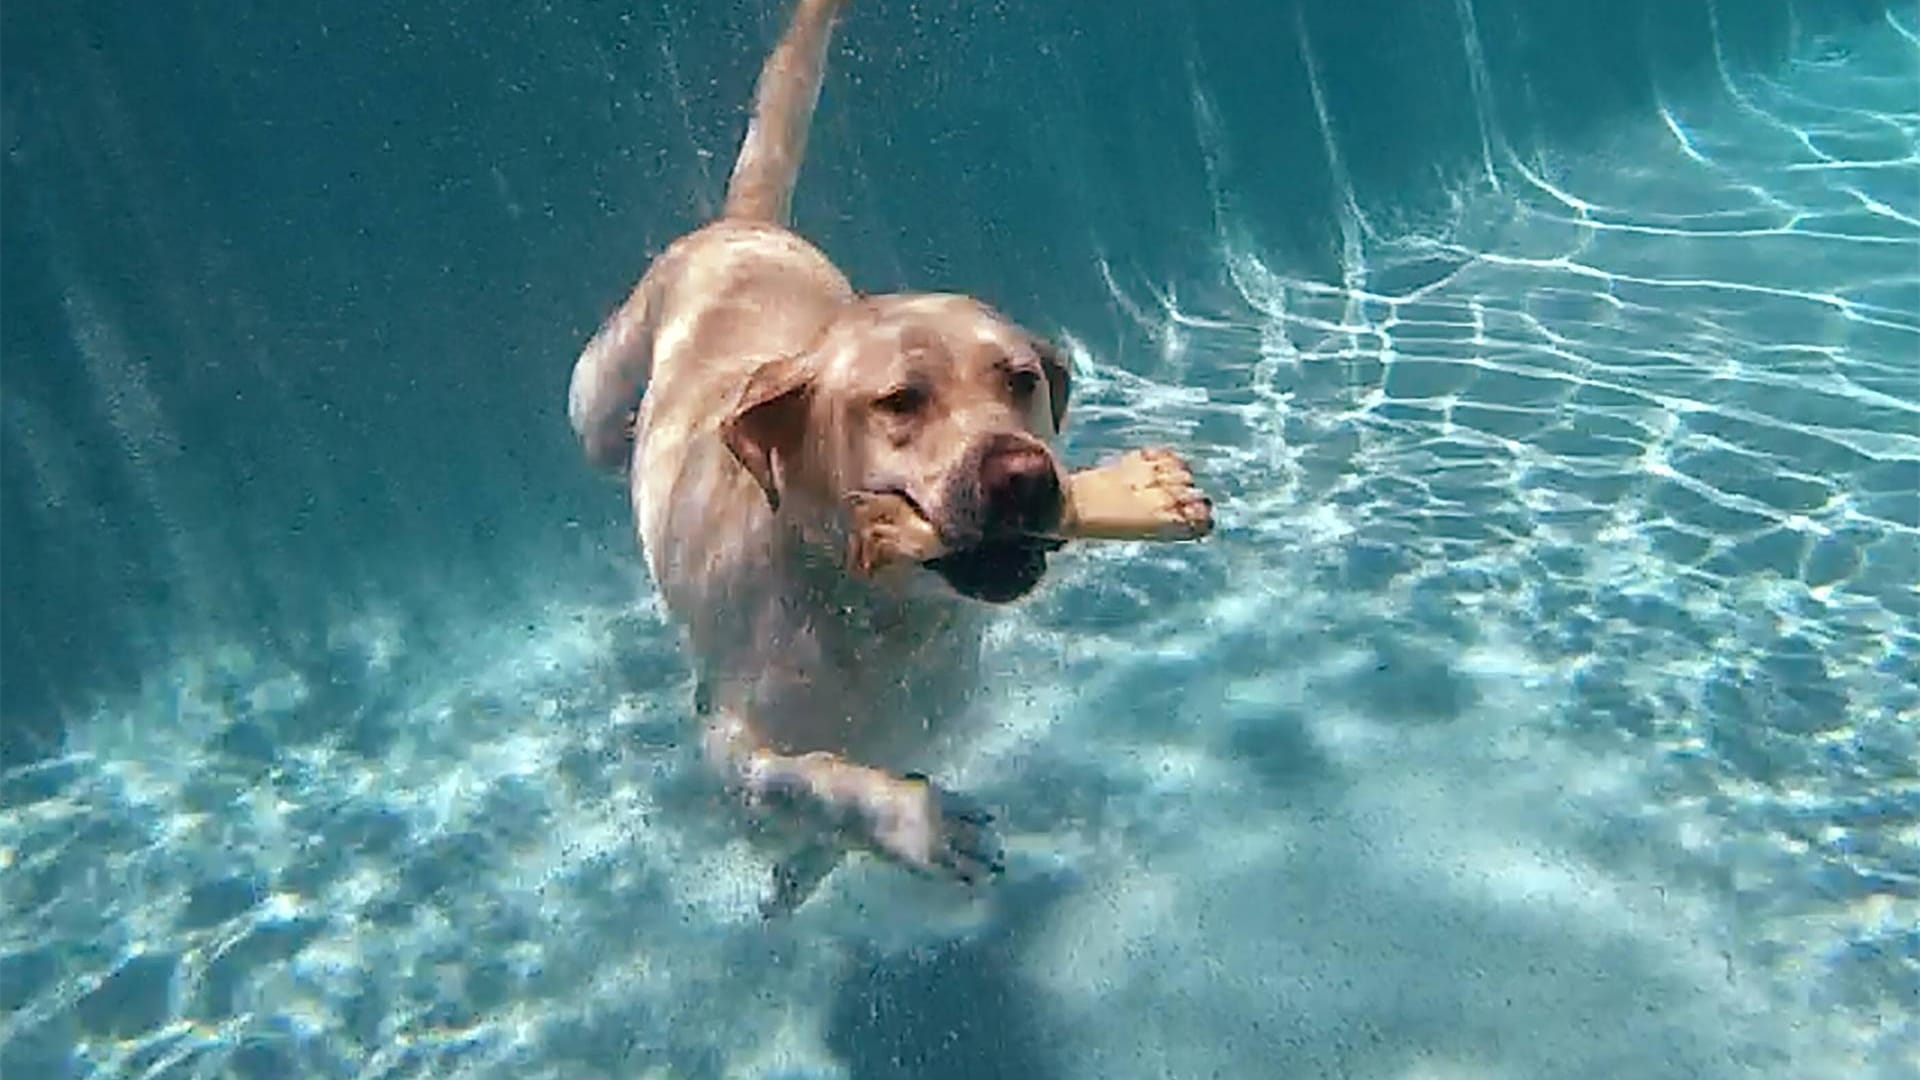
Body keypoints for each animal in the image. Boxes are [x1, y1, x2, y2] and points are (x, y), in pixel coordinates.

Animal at [560, 0, 1213, 910]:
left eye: (1021, 382)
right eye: (900, 402)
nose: (1024, 477)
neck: (874, 615)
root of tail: (746, 226)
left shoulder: (925, 719)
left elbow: (850, 787)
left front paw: (804, 869)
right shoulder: (733, 751)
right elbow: (814, 782)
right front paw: (916, 825)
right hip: (597, 382)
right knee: (594, 418)